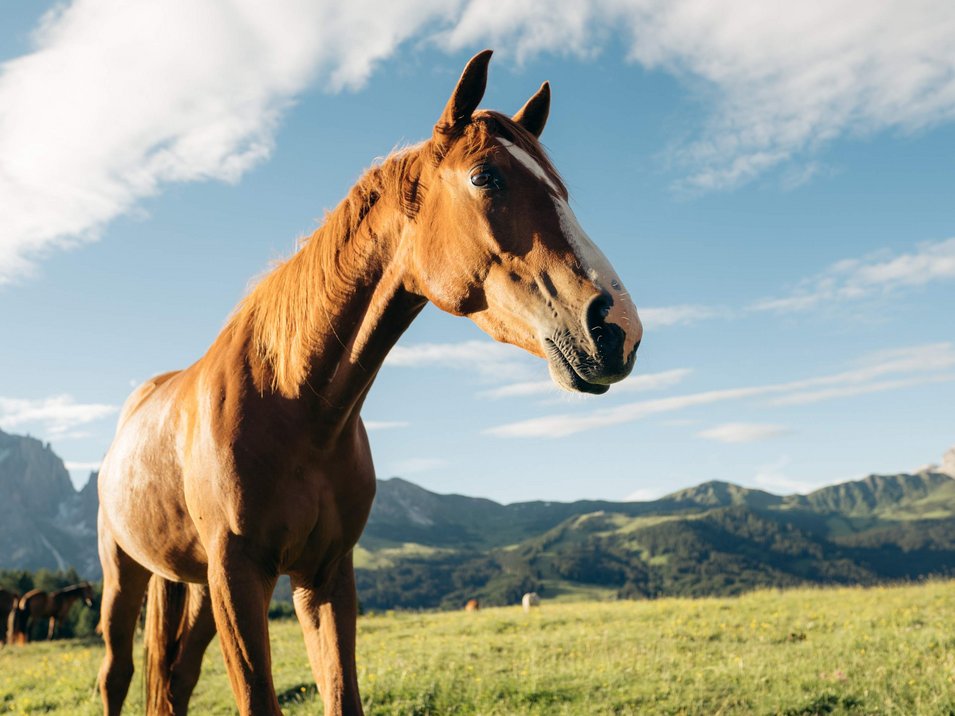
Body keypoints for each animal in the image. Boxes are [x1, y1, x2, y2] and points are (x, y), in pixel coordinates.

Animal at [95, 49, 642, 716]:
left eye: (562, 190)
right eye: (486, 177)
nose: (617, 326)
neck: (292, 406)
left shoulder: (325, 573)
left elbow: (340, 694)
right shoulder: (239, 575)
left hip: (194, 586)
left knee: (174, 678)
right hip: (127, 574)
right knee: (116, 674)